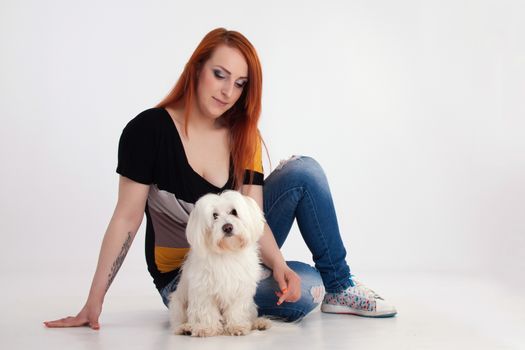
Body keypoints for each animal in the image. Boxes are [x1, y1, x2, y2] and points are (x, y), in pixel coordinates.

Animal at [168, 190, 272, 338]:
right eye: (215, 216)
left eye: (234, 212)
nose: (227, 227)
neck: (227, 252)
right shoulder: (203, 290)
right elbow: (206, 311)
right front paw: (207, 328)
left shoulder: (240, 289)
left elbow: (236, 310)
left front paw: (237, 326)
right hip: (178, 303)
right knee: (177, 321)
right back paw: (185, 328)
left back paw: (259, 323)